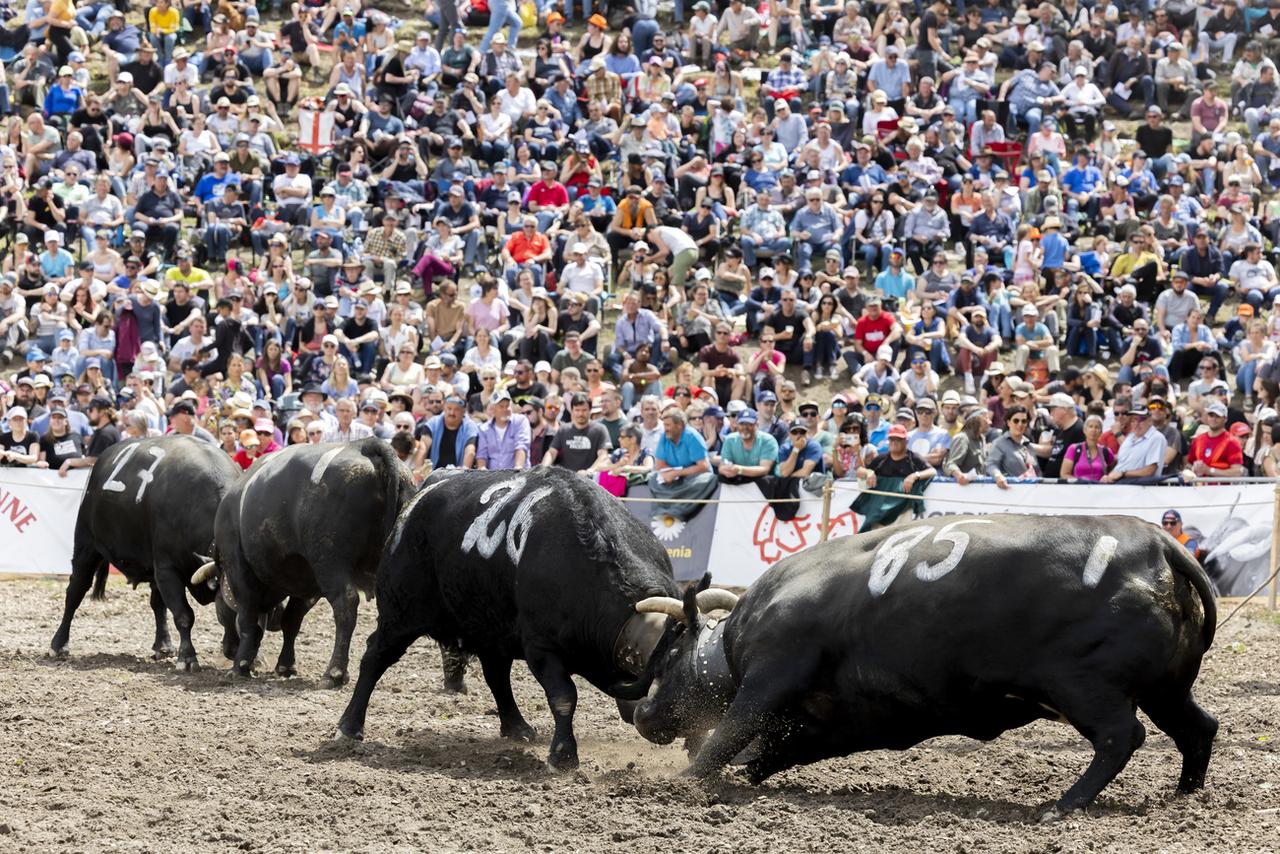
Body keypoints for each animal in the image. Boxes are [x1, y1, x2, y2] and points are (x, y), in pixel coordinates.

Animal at [49, 437, 241, 670]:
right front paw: (187, 658)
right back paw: (58, 644)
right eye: (229, 606)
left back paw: (163, 645)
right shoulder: (167, 569)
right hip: (86, 544)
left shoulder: (161, 570)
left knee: (157, 604)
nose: (235, 650)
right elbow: (184, 615)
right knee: (75, 591)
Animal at [207, 440, 412, 686]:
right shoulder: (307, 584)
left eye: (218, 606)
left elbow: (248, 621)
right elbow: (291, 621)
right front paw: (285, 665)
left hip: (331, 564)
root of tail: (364, 446)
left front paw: (240, 666)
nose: (227, 649)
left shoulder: (239, 569)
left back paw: (334, 672)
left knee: (345, 605)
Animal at [335, 471, 686, 773]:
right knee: (374, 658)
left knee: (496, 676)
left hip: (490, 629)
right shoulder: (541, 649)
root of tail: (418, 500)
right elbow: (564, 697)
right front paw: (563, 755)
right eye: (673, 666)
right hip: (400, 614)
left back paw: (516, 726)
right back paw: (349, 726)